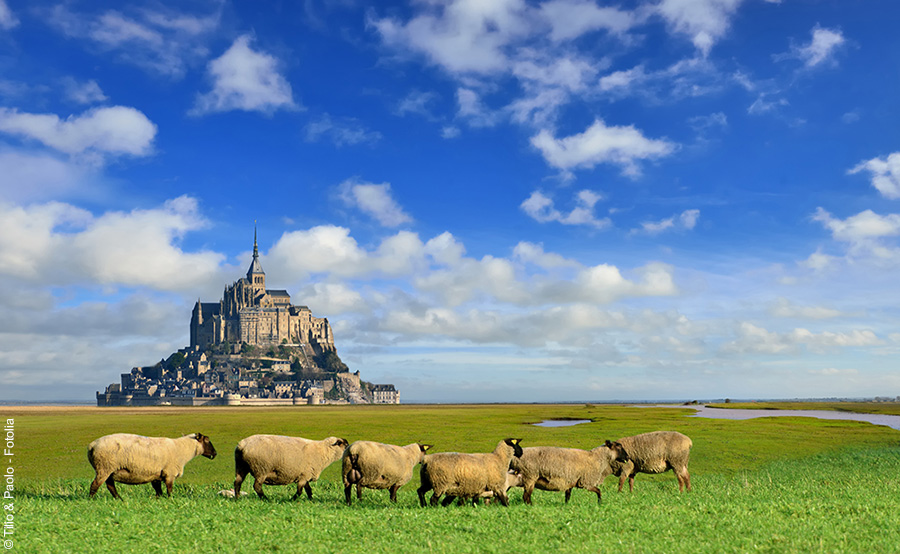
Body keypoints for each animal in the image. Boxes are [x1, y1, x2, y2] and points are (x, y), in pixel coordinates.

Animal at [88, 430, 218, 498]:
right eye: (207, 440)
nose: (215, 453)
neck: (182, 449)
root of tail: (92, 445)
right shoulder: (169, 473)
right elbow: (169, 489)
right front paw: (171, 499)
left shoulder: (157, 475)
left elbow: (158, 490)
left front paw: (159, 499)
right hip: (104, 467)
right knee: (95, 485)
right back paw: (91, 500)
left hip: (108, 470)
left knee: (110, 486)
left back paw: (119, 500)